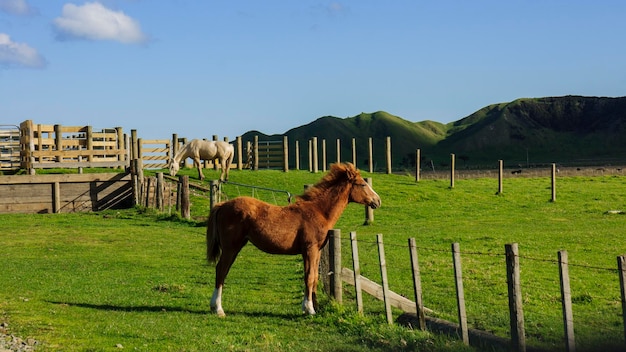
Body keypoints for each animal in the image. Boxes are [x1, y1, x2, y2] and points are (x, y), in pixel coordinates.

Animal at [206, 162, 380, 316]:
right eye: (362, 185)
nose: (377, 200)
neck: (319, 212)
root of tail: (222, 205)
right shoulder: (310, 249)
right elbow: (309, 277)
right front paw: (309, 309)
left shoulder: (315, 251)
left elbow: (314, 277)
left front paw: (313, 306)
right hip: (231, 247)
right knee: (221, 270)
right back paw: (218, 309)